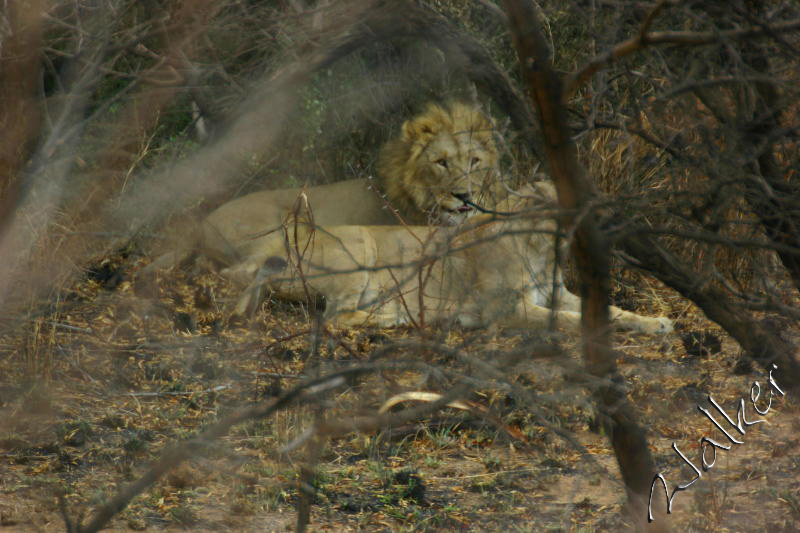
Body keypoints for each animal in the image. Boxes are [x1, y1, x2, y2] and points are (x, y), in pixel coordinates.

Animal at [222, 183, 672, 332]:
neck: (543, 251)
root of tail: (281, 245)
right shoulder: (505, 309)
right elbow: (564, 320)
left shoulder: (555, 293)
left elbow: (612, 310)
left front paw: (658, 324)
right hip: (361, 248)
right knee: (334, 317)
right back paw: (396, 317)